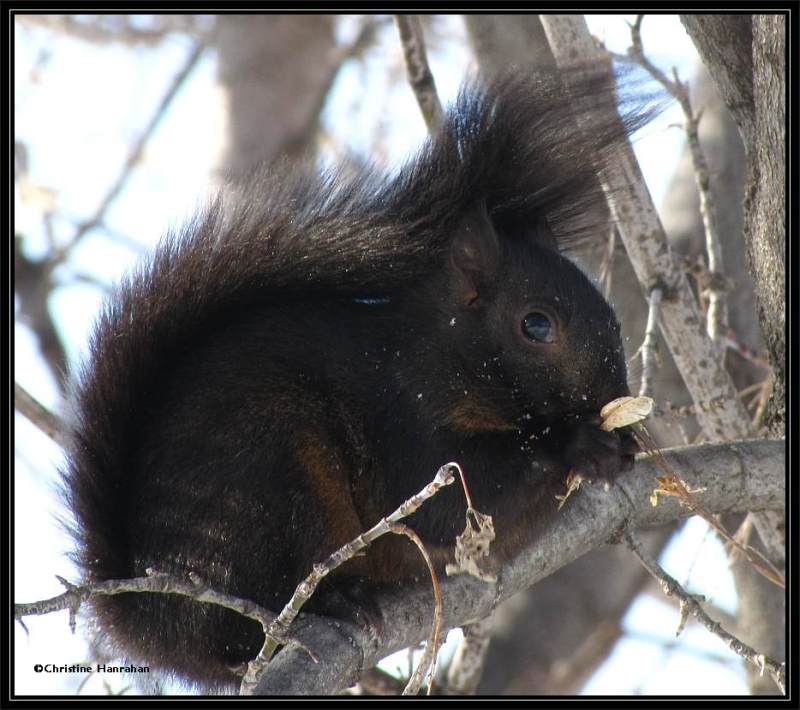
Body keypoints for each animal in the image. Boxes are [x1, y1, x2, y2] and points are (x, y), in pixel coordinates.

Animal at [65, 71, 648, 688]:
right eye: (536, 324)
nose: (613, 394)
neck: (445, 354)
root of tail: (156, 617)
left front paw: (625, 439)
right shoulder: (405, 413)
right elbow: (450, 498)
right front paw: (581, 443)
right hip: (272, 481)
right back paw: (337, 600)